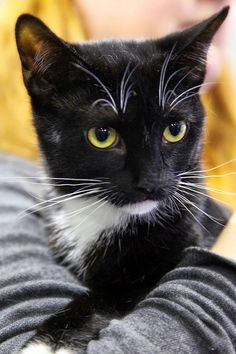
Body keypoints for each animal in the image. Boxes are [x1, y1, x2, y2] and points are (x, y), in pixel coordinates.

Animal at [15, 6, 230, 354]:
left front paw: (50, 342)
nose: (151, 182)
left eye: (175, 129)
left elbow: (119, 292)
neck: (104, 215)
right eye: (102, 135)